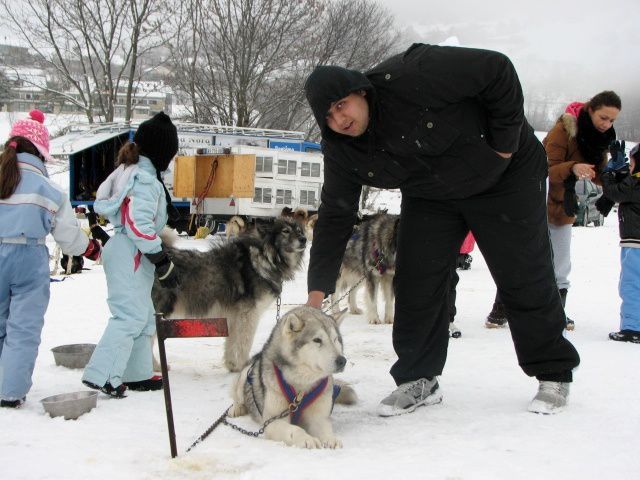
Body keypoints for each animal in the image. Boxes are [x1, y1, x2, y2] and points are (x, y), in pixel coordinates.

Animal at [152, 218, 308, 372]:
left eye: (299, 231)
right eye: (285, 231)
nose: (304, 239)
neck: (264, 257)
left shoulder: (235, 317)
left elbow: (232, 342)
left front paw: (232, 365)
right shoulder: (249, 314)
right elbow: (244, 342)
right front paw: (242, 365)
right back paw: (157, 367)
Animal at [230, 306, 360, 448]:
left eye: (336, 339)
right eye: (317, 340)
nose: (342, 361)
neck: (301, 386)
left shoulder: (318, 418)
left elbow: (324, 428)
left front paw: (330, 439)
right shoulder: (272, 421)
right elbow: (295, 430)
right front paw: (306, 439)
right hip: (245, 374)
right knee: (238, 397)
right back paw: (237, 408)